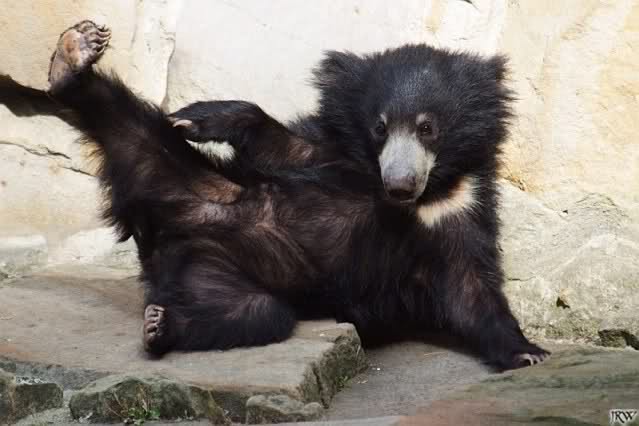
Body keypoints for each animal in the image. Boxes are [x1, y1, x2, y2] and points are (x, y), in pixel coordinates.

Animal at [47, 20, 548, 370]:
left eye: (428, 128)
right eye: (379, 127)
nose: (400, 185)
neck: (425, 197)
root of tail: (164, 244)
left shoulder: (462, 205)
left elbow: (470, 286)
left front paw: (527, 352)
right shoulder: (330, 154)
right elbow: (279, 146)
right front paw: (197, 117)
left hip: (216, 277)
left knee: (254, 314)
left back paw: (161, 325)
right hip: (187, 180)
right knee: (131, 129)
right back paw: (74, 58)